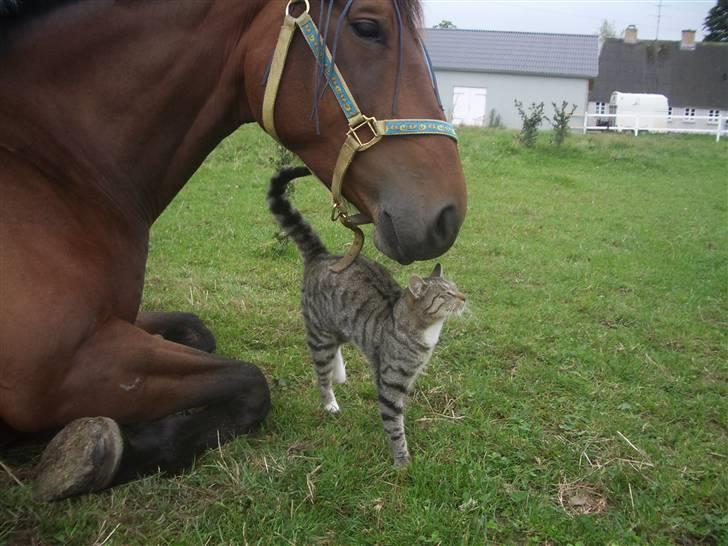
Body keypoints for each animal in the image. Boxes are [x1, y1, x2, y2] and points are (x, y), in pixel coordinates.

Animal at [268, 166, 466, 464]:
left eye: (455, 288)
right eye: (445, 295)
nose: (464, 297)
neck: (424, 331)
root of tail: (321, 256)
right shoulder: (390, 381)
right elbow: (393, 422)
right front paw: (402, 463)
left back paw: (339, 373)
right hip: (319, 332)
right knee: (321, 372)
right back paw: (330, 401)